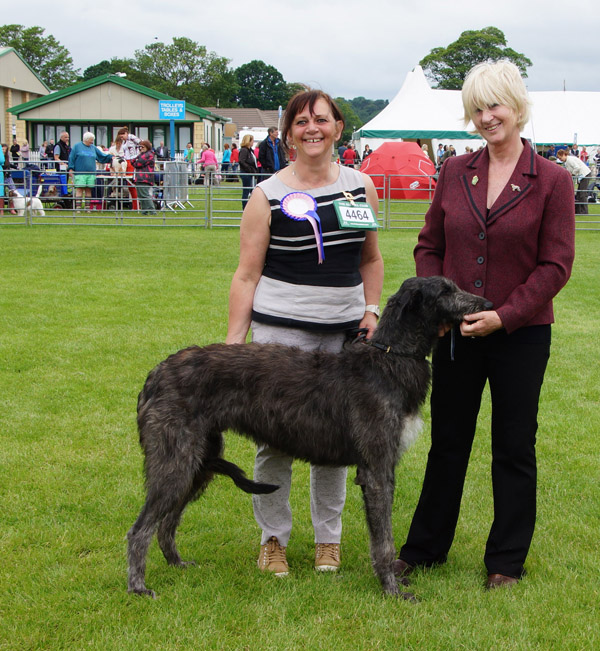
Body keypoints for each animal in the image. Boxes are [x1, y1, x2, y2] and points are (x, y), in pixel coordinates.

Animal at [127, 278, 492, 600]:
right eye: (445, 291)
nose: (487, 305)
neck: (388, 358)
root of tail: (154, 375)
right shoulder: (377, 471)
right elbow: (384, 541)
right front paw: (392, 590)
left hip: (198, 462)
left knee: (167, 521)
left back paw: (176, 564)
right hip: (175, 460)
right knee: (141, 528)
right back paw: (138, 587)